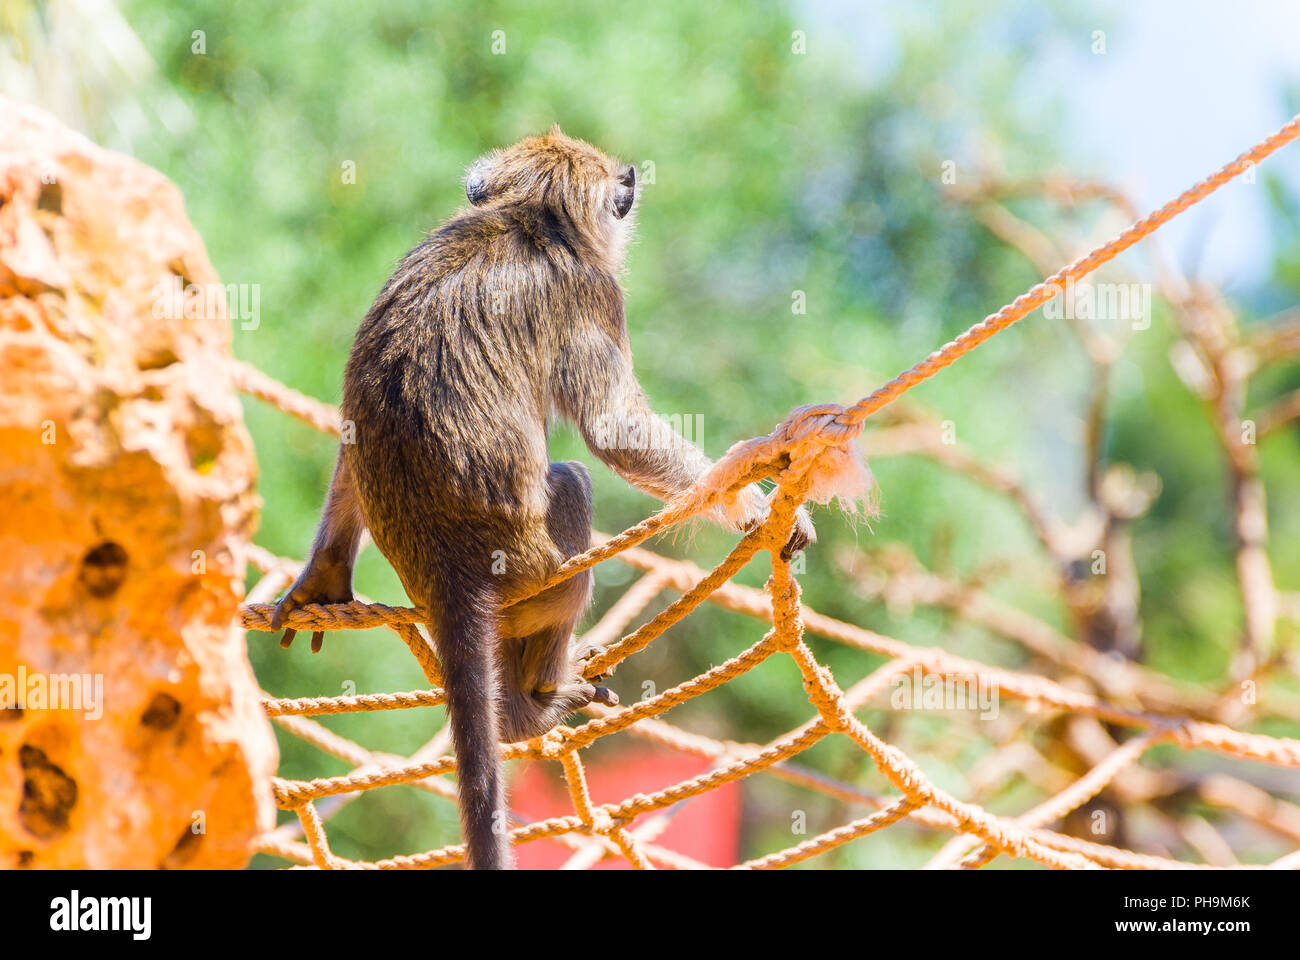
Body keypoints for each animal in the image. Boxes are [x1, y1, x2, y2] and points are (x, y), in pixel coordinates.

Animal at [267, 127, 811, 868]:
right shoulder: (593, 291)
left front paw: (321, 577)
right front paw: (750, 505)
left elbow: (351, 435)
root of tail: (449, 569)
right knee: (572, 488)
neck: (528, 218)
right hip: (532, 569)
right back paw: (533, 704)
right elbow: (613, 430)